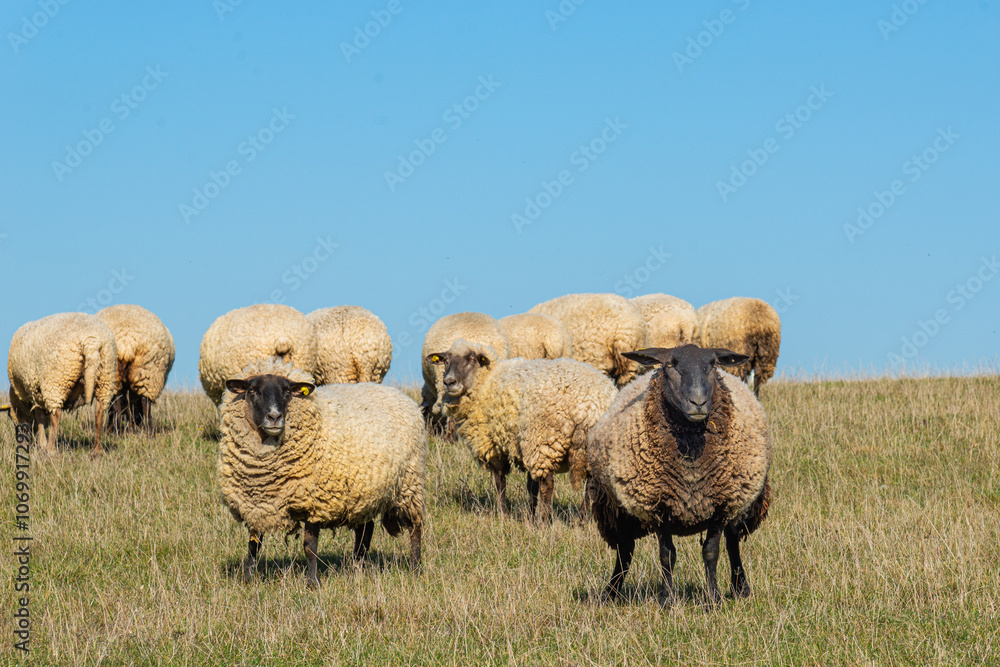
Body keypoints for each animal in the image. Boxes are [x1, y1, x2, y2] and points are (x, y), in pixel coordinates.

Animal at [2, 312, 118, 455]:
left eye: (11, 415)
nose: (22, 442)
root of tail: (91, 342)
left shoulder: (34, 389)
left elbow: (40, 416)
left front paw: (42, 445)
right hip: (106, 375)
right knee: (99, 412)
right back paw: (97, 450)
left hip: (57, 380)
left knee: (56, 414)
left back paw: (51, 450)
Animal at [95, 304, 175, 433]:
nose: (135, 423)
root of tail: (126, 342)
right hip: (147, 372)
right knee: (144, 403)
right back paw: (146, 432)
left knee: (119, 403)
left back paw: (118, 431)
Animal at [219, 357, 426, 589]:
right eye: (252, 390)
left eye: (287, 391)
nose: (274, 417)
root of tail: (400, 395)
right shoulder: (256, 504)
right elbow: (254, 544)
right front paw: (247, 579)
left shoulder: (315, 502)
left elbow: (310, 546)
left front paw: (312, 583)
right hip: (362, 493)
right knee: (366, 530)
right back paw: (356, 569)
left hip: (409, 482)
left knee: (414, 528)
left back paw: (416, 568)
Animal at [428, 339, 618, 523]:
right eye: (445, 360)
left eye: (472, 359)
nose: (449, 382)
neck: (486, 381)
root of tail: (591, 406)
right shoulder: (524, 446)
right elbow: (530, 486)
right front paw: (529, 514)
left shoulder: (495, 446)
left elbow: (500, 481)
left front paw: (504, 515)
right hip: (591, 448)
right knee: (591, 486)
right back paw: (579, 520)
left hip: (544, 440)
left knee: (548, 483)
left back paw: (543, 522)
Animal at [586, 344, 771, 604]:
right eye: (670, 365)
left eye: (713, 364)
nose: (698, 402)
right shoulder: (659, 505)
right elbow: (667, 555)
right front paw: (667, 600)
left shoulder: (721, 504)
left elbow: (711, 552)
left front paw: (713, 599)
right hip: (615, 508)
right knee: (625, 548)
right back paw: (612, 592)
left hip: (740, 499)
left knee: (733, 540)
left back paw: (740, 588)